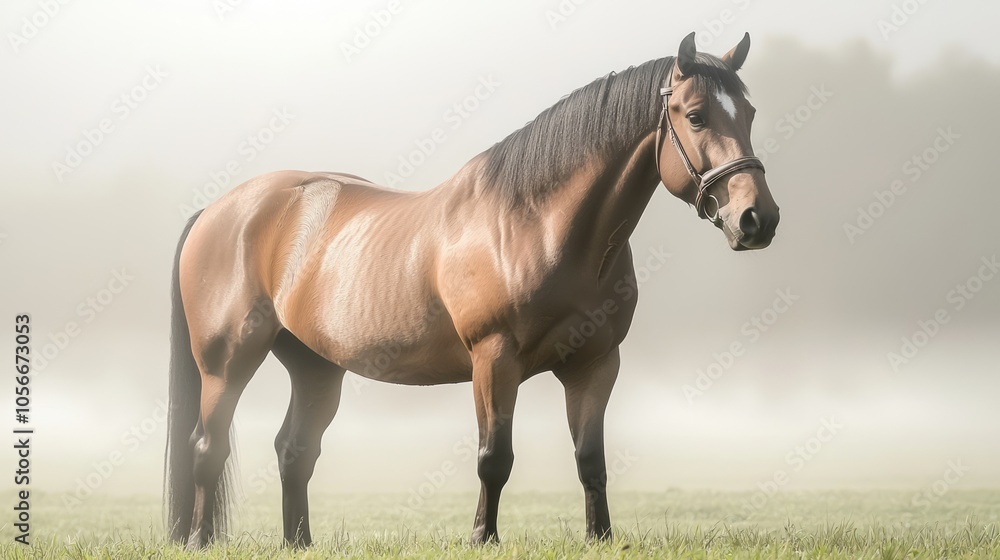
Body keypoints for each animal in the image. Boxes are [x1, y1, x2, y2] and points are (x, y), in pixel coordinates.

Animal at [164, 31, 779, 550]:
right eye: (695, 116)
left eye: (750, 113)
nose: (758, 219)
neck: (538, 225)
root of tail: (219, 209)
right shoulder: (494, 358)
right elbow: (494, 457)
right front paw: (483, 537)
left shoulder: (596, 363)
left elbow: (590, 458)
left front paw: (599, 537)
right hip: (227, 363)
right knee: (207, 447)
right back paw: (198, 539)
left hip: (316, 366)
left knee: (295, 451)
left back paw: (298, 543)